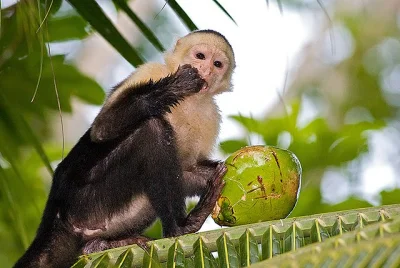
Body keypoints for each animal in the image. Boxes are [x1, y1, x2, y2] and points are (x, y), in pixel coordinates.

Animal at [14, 29, 234, 268]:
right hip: (86, 201)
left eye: (217, 64)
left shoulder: (210, 116)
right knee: (152, 129)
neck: (192, 100)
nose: (207, 70)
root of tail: (55, 215)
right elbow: (103, 128)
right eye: (200, 56)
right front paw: (175, 86)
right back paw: (181, 227)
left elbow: (188, 170)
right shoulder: (150, 72)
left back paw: (100, 245)